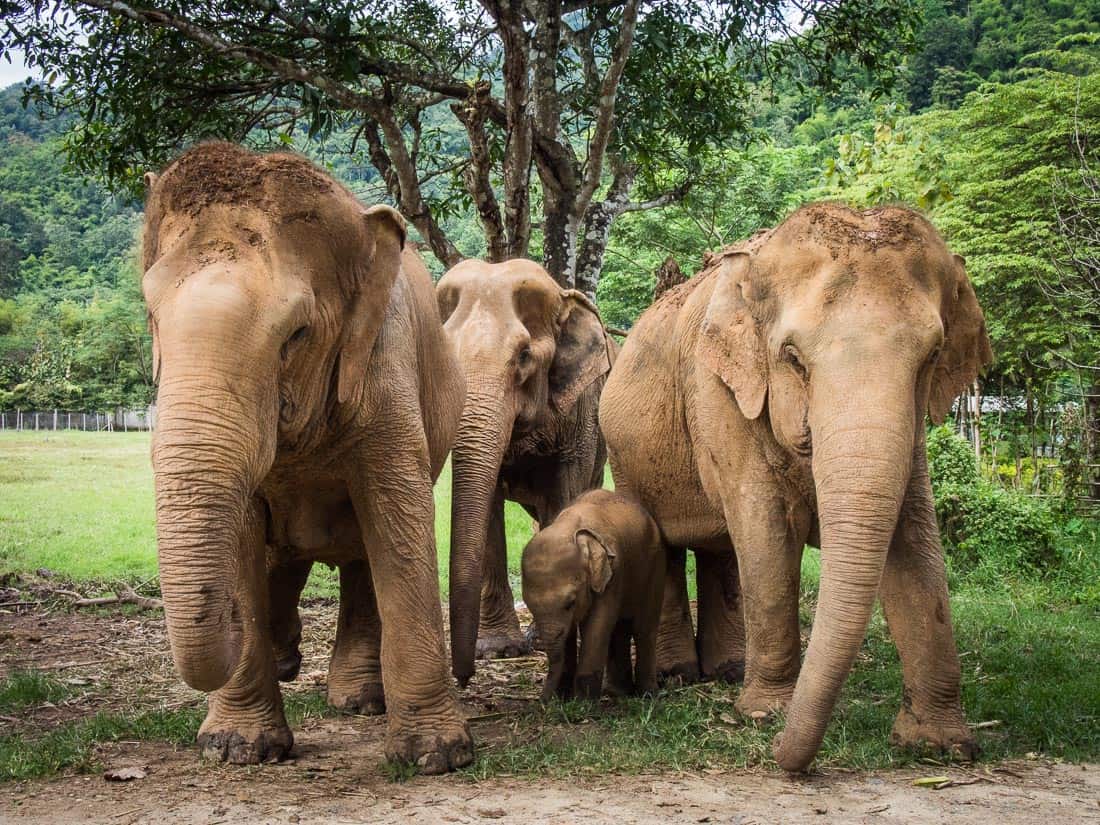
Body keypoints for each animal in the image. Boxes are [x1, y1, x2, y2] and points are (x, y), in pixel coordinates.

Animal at [141, 142, 473, 773]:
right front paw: (236, 748)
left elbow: (399, 525)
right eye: (150, 316)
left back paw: (358, 700)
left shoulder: (385, 365)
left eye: (294, 335)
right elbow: (244, 537)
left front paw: (435, 758)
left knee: (362, 556)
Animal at [436, 259, 617, 687]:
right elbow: (487, 505)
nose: (463, 680)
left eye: (522, 357)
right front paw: (497, 650)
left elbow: (566, 492)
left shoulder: (581, 412)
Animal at [521, 489, 665, 702]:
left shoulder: (614, 572)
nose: (543, 701)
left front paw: (583, 703)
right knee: (620, 628)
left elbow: (598, 625)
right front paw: (565, 698)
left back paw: (648, 694)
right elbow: (572, 631)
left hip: (655, 563)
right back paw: (617, 692)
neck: (569, 528)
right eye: (530, 606)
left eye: (570, 603)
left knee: (643, 628)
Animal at [599, 203, 993, 772]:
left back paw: (727, 671)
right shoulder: (719, 394)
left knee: (721, 550)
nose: (786, 761)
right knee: (667, 547)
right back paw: (680, 677)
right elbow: (766, 531)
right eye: (793, 357)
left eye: (933, 356)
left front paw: (940, 746)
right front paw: (764, 715)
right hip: (624, 451)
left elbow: (914, 542)